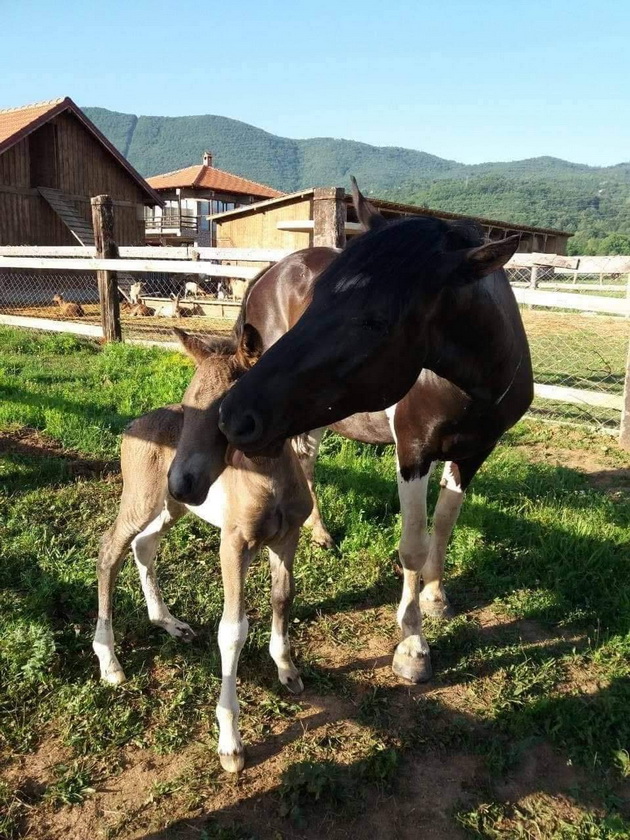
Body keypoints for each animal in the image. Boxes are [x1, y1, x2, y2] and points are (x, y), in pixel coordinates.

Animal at [93, 324, 314, 772]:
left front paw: (286, 668)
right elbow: (232, 630)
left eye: (227, 413)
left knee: (144, 546)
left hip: (170, 508)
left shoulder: (287, 538)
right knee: (110, 552)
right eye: (189, 403)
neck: (269, 481)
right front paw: (230, 742)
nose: (183, 481)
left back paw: (168, 622)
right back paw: (109, 661)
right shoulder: (233, 544)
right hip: (143, 499)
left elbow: (283, 597)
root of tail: (134, 424)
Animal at [172, 184, 532, 684]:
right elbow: (413, 545)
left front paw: (435, 596)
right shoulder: (413, 452)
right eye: (318, 298)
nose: (234, 416)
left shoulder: (474, 454)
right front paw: (412, 647)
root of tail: (271, 271)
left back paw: (319, 531)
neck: (473, 382)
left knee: (306, 457)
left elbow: (444, 524)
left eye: (376, 320)